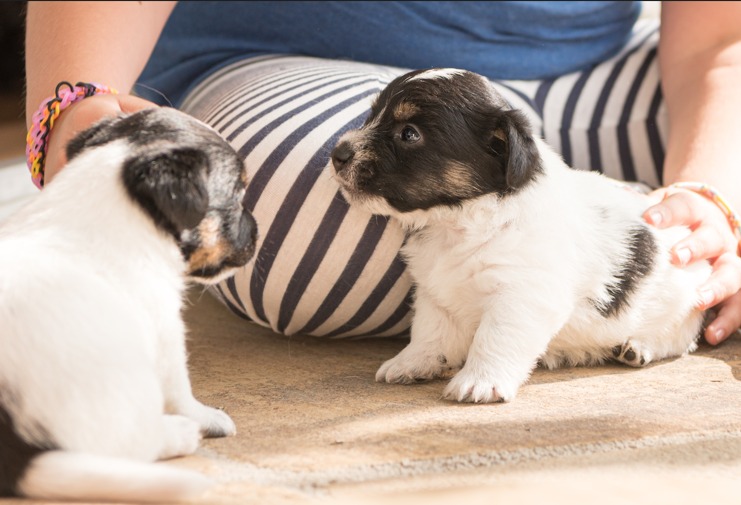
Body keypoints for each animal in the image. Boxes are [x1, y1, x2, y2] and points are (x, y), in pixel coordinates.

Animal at [0, 106, 258, 500]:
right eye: (238, 194)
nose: (258, 229)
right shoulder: (166, 336)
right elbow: (182, 393)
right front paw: (209, 418)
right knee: (135, 446)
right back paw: (180, 434)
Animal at [330, 69, 712, 404]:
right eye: (373, 115)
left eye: (409, 134)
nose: (337, 153)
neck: (460, 221)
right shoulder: (434, 292)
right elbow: (429, 332)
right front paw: (412, 362)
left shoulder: (521, 297)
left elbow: (494, 339)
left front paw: (479, 382)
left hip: (683, 301)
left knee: (681, 335)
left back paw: (638, 346)